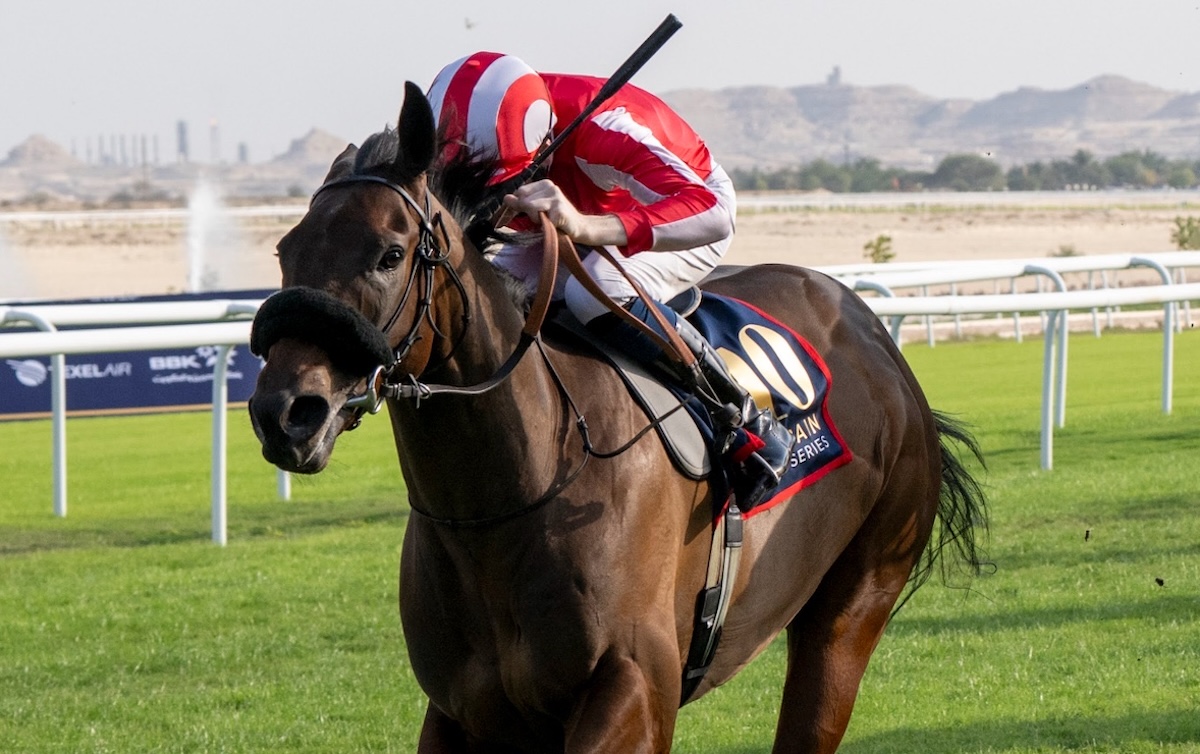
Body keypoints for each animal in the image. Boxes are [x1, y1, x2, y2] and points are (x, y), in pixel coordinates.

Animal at [246, 82, 984, 754]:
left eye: (389, 254)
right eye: (285, 252)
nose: (285, 413)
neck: (515, 493)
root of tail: (868, 328)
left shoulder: (636, 689)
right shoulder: (462, 713)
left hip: (855, 602)